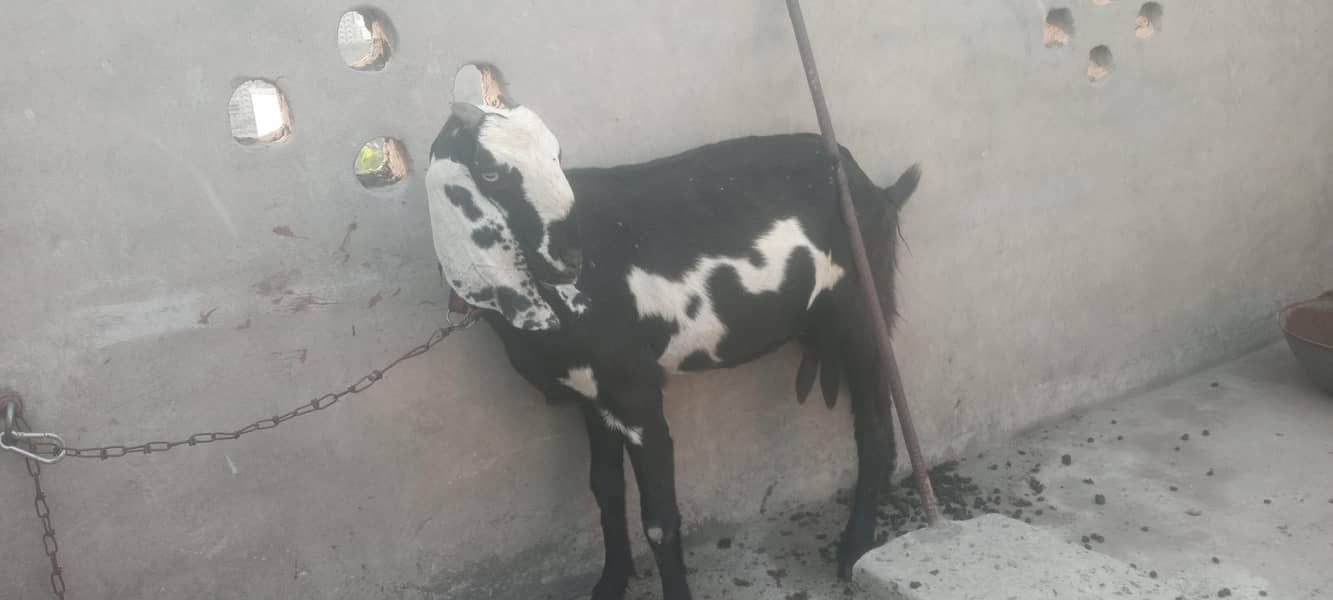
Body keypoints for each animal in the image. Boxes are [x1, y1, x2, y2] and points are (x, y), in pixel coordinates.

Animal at [427, 92, 920, 600]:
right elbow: (605, 490)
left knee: (875, 426)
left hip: (861, 306)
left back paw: (854, 547)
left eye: (557, 156)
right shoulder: (594, 394)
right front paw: (610, 583)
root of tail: (874, 188)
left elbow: (660, 519)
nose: (570, 257)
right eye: (489, 173)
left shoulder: (635, 388)